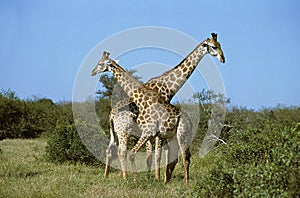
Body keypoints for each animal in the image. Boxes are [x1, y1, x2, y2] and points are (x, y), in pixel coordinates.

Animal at [105, 32, 225, 179]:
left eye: (220, 45)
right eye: (214, 46)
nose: (223, 59)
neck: (168, 87)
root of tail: (112, 114)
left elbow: (156, 154)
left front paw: (155, 176)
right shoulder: (158, 128)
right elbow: (156, 154)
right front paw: (157, 177)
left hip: (115, 134)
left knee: (109, 150)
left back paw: (106, 176)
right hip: (124, 132)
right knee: (120, 152)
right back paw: (126, 177)